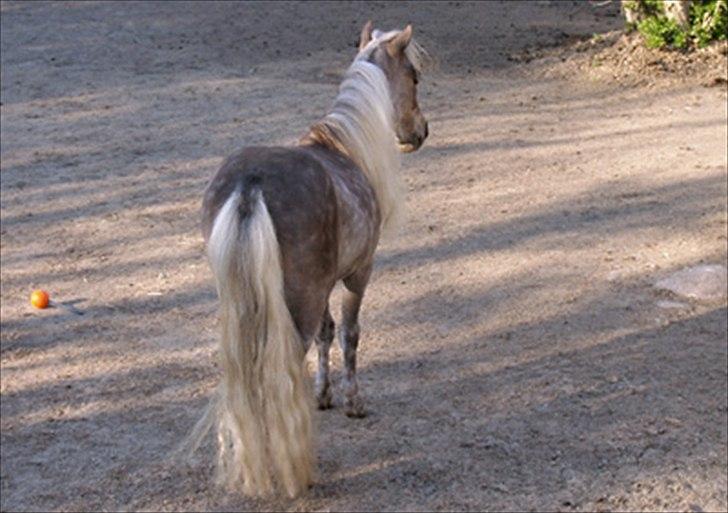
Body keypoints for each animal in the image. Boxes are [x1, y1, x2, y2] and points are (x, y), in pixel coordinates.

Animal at [196, 23, 430, 496]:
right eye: (413, 77)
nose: (421, 132)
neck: (342, 148)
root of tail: (251, 183)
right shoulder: (357, 275)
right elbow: (350, 334)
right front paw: (353, 401)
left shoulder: (323, 285)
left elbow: (327, 333)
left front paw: (323, 395)